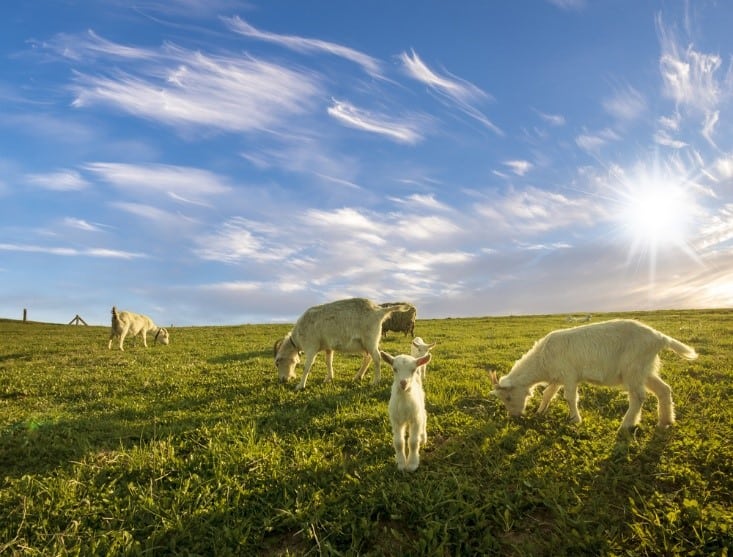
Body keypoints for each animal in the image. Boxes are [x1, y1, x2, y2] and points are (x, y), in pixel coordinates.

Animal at [274, 298, 412, 388]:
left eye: (277, 363)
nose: (282, 380)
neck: (298, 336)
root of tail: (378, 311)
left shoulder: (311, 347)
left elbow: (307, 366)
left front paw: (300, 385)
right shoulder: (328, 347)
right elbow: (328, 361)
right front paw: (329, 378)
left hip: (370, 339)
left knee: (377, 358)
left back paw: (375, 381)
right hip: (364, 343)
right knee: (367, 358)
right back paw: (358, 376)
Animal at [488, 318, 696, 430]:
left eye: (508, 397)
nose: (515, 416)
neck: (542, 358)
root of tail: (660, 337)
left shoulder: (569, 375)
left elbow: (570, 397)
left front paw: (575, 420)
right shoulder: (558, 377)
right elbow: (548, 393)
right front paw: (540, 411)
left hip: (633, 368)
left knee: (638, 396)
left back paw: (625, 426)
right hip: (645, 369)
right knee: (663, 390)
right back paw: (665, 422)